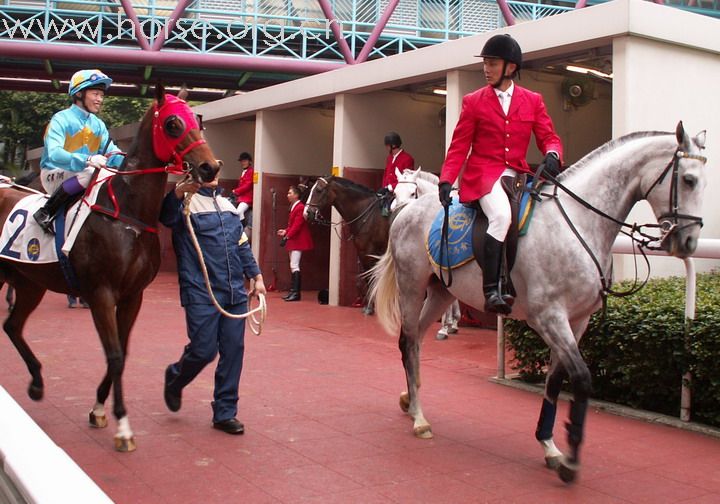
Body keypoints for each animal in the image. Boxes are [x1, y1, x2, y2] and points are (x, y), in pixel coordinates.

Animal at [0, 84, 221, 450]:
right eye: (173, 124)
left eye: (198, 122)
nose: (210, 168)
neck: (128, 216)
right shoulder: (101, 293)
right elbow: (115, 354)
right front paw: (123, 427)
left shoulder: (133, 296)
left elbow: (123, 352)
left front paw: (99, 409)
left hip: (30, 283)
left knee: (13, 326)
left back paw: (36, 383)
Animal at [304, 175, 390, 314]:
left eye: (319, 190)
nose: (307, 213)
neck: (368, 214)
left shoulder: (367, 252)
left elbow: (370, 277)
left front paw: (369, 307)